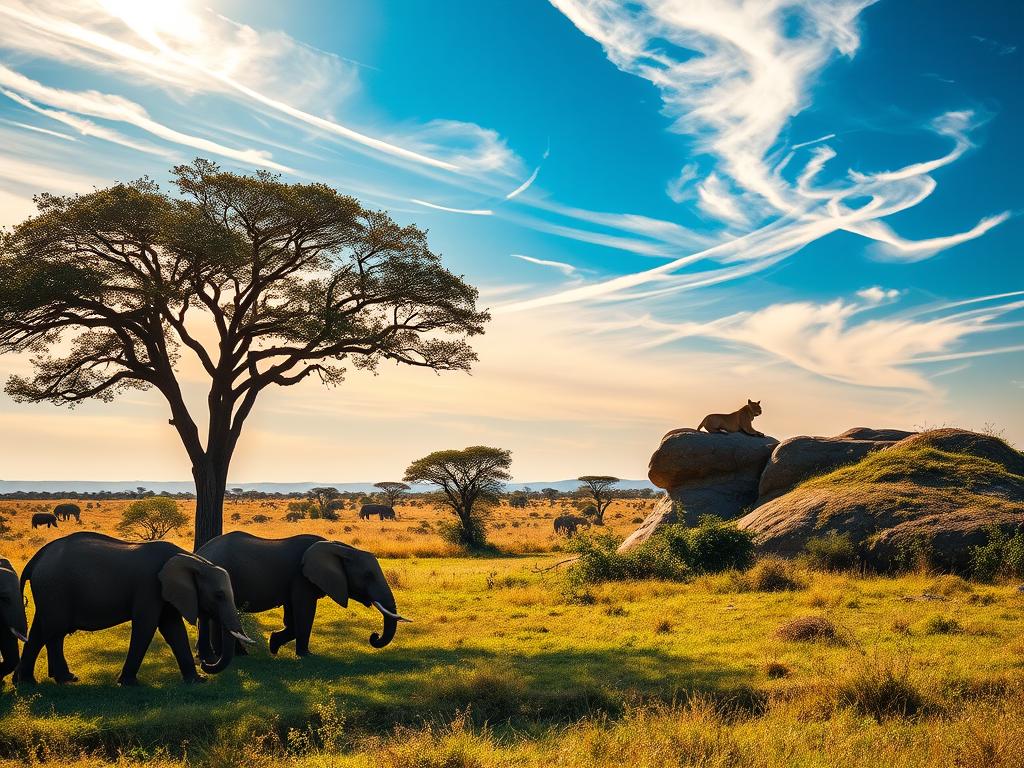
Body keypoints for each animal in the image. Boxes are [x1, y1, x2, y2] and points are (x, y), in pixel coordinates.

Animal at [14, 532, 252, 686]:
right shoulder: (150, 586)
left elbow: (173, 629)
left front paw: (196, 681)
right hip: (55, 588)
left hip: (48, 591)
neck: (194, 561)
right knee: (55, 631)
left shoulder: (166, 591)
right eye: (219, 595)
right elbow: (146, 626)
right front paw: (128, 683)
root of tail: (36, 559)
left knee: (39, 631)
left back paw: (25, 682)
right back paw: (67, 679)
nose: (204, 662)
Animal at [196, 532, 408, 661]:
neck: (340, 548)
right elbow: (304, 611)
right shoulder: (302, 578)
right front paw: (307, 656)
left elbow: (292, 617)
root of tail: (199, 552)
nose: (374, 636)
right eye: (368, 575)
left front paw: (274, 644)